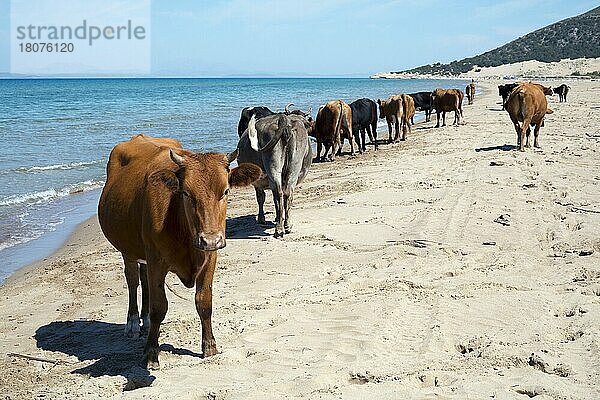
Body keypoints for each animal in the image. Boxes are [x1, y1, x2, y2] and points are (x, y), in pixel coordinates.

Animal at [98, 134, 260, 368]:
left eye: (226, 191)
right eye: (186, 193)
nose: (211, 239)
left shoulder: (210, 257)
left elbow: (204, 302)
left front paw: (209, 346)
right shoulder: (157, 261)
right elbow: (159, 307)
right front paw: (150, 353)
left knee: (143, 279)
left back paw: (145, 321)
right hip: (127, 249)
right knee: (133, 280)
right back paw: (133, 323)